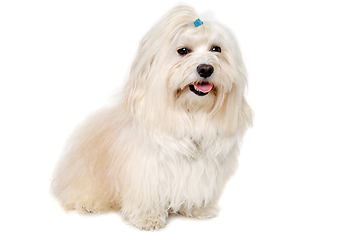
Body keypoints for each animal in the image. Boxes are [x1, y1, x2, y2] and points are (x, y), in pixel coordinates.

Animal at [52, 5, 252, 231]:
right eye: (183, 51)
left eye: (216, 49)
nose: (206, 68)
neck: (191, 113)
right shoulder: (146, 170)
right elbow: (146, 195)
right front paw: (148, 218)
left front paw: (198, 209)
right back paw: (89, 204)